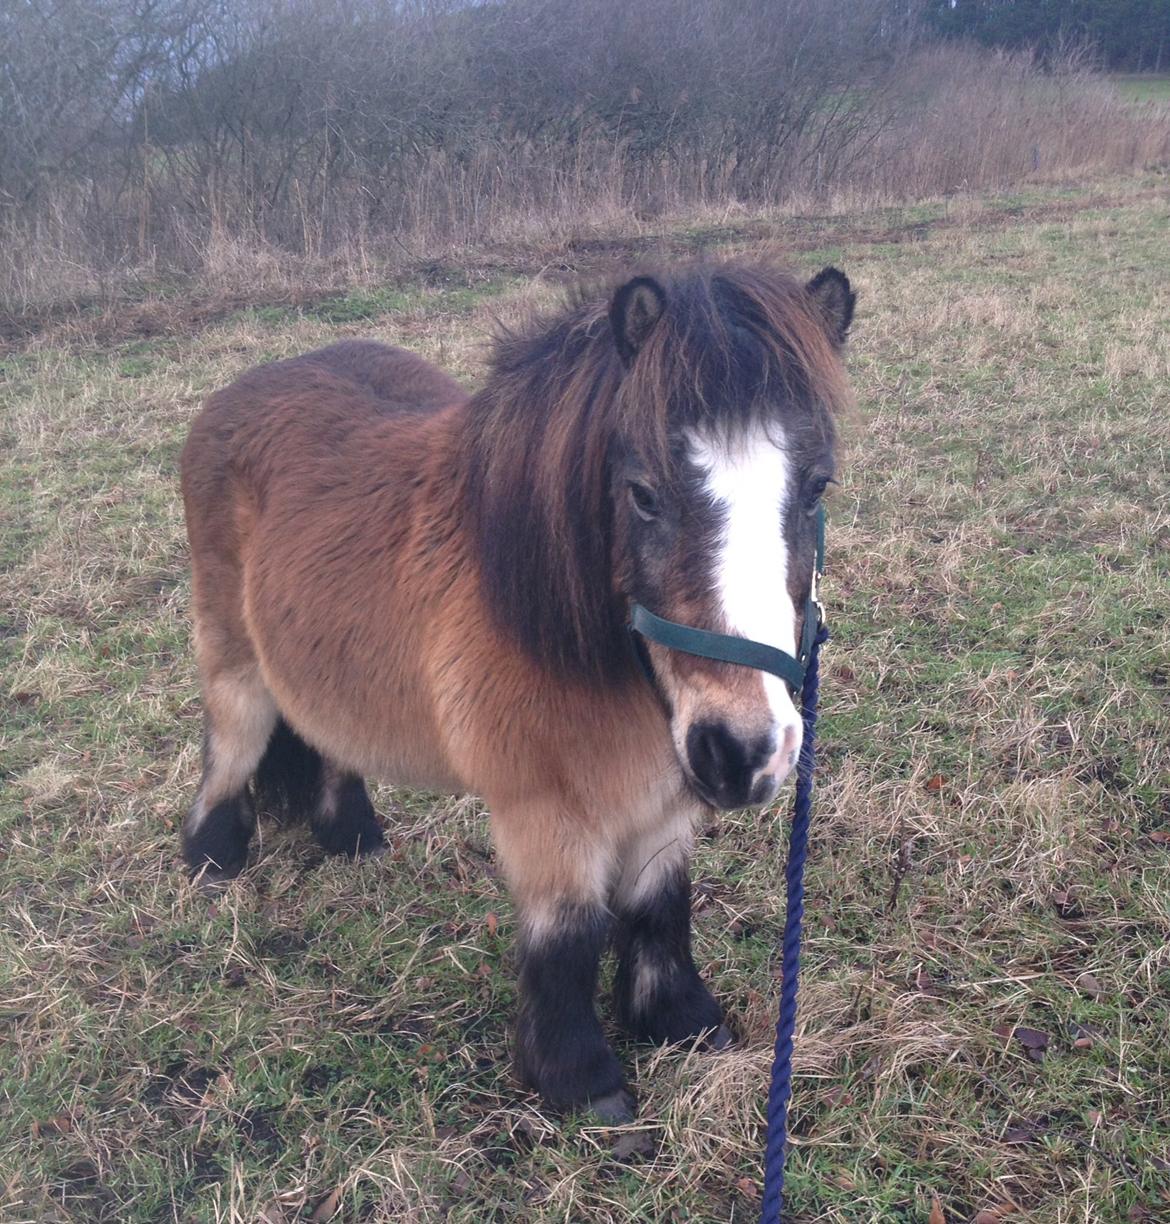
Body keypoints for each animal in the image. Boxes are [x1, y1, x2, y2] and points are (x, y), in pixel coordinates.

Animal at [179, 259, 855, 1123]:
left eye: (815, 487)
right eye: (642, 493)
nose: (742, 754)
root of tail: (239, 391)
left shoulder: (662, 802)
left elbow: (660, 909)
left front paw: (678, 1022)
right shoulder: (548, 816)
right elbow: (567, 938)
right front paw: (580, 1080)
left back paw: (351, 837)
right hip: (231, 655)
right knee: (232, 740)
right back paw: (212, 859)